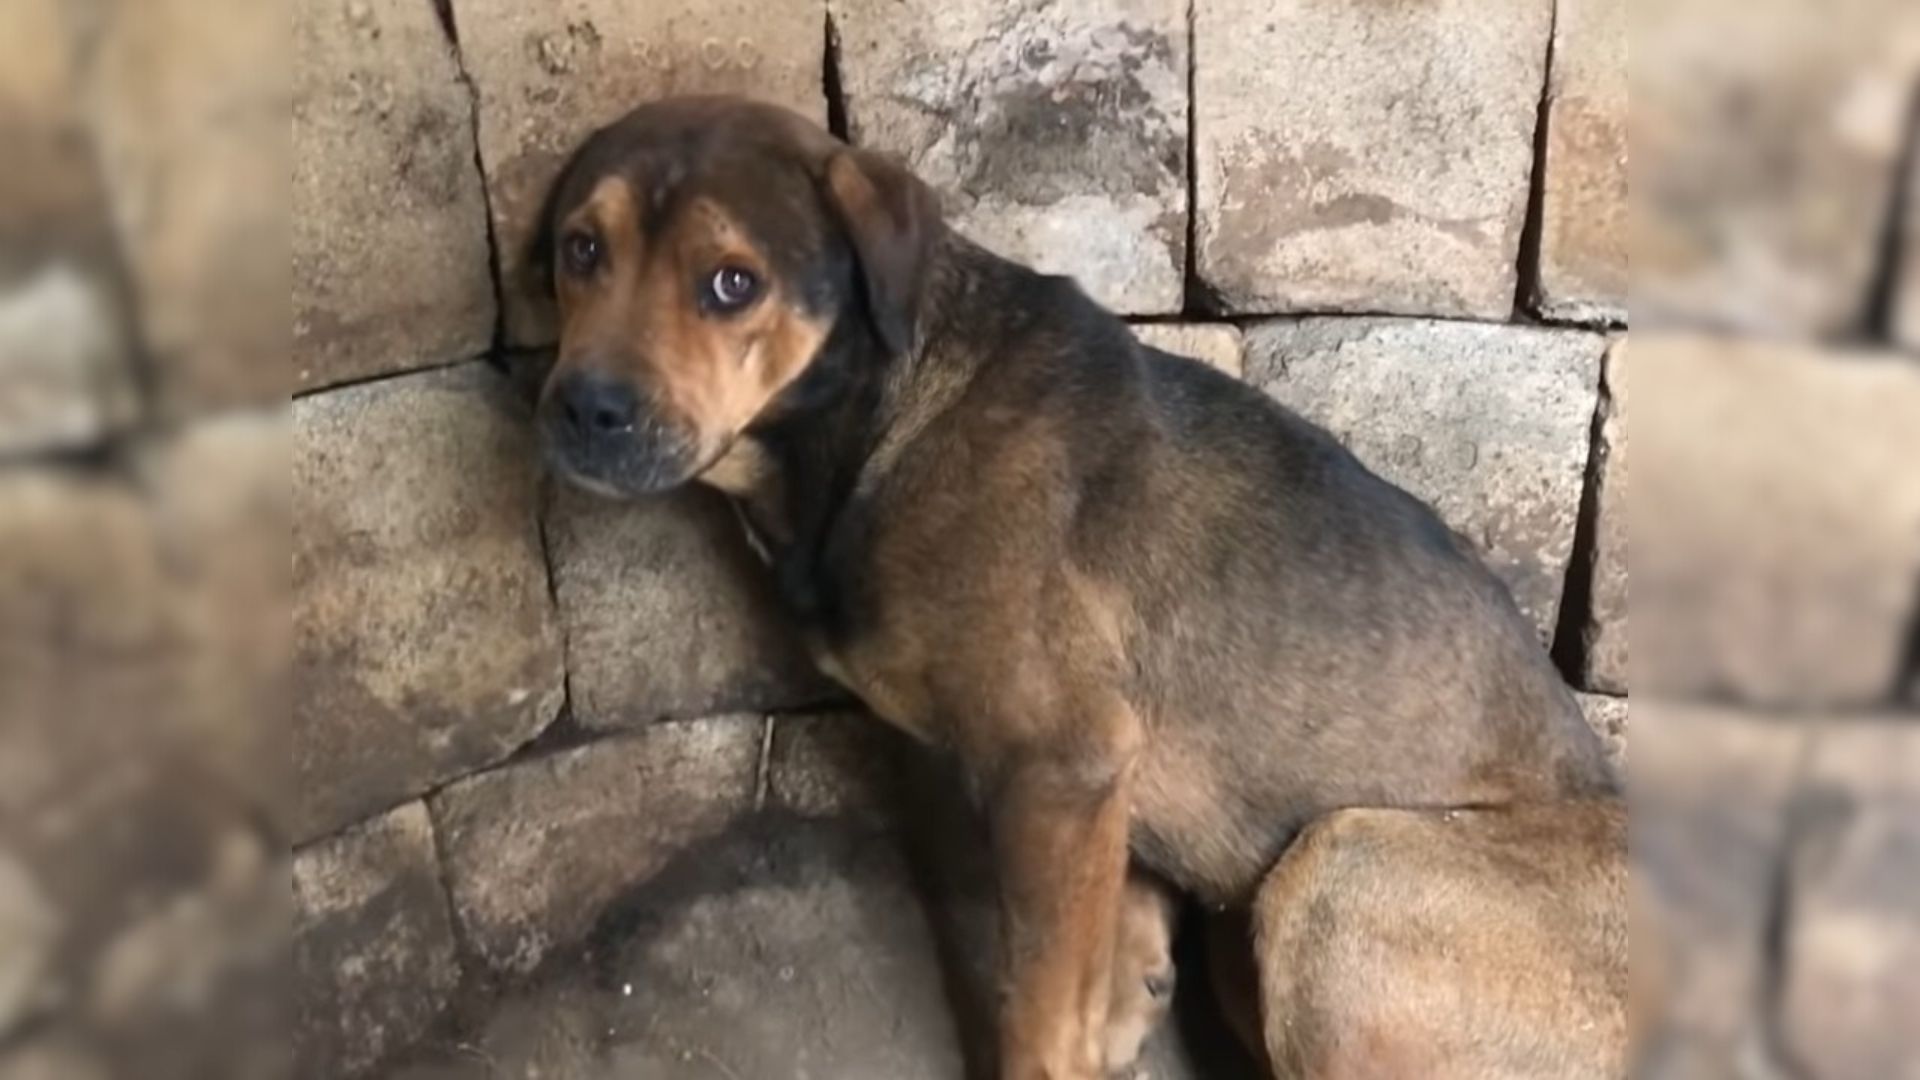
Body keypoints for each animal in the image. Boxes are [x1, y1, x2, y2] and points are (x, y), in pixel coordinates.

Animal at [529, 96, 1620, 1068]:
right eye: (582, 251)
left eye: (731, 283)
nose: (584, 409)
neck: (886, 418)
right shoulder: (1108, 807)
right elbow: (1108, 973)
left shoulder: (1058, 769)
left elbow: (1038, 1014)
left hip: (1339, 869)